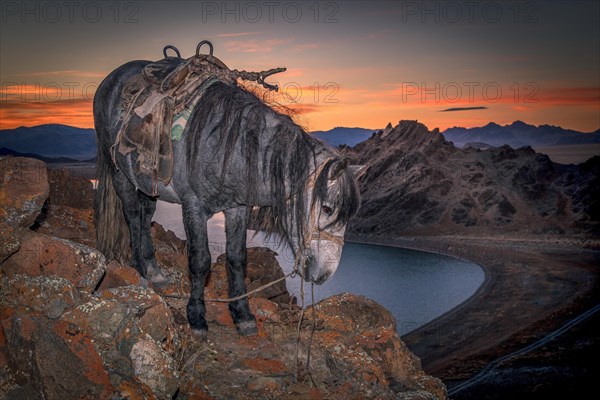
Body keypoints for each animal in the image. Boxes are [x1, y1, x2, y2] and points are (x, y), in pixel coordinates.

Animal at [94, 57, 360, 338]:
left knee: (145, 217)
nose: (325, 274)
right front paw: (197, 317)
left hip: (148, 185)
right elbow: (200, 261)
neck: (229, 147)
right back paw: (141, 268)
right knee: (133, 215)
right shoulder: (193, 207)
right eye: (328, 208)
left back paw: (151, 268)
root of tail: (111, 78)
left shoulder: (238, 209)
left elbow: (237, 259)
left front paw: (242, 315)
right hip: (119, 174)